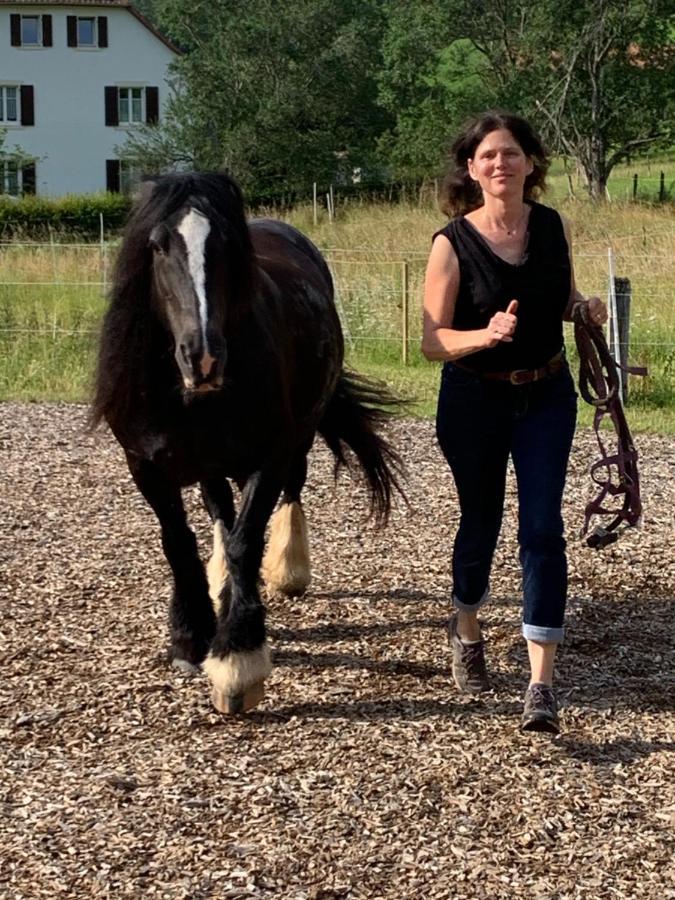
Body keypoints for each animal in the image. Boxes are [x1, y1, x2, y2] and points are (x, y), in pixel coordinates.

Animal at [92, 172, 404, 712]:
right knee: (218, 505)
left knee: (289, 494)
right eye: (157, 245)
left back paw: (287, 569)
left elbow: (246, 540)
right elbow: (179, 541)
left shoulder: (271, 457)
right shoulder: (145, 465)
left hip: (297, 440)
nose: (203, 358)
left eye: (227, 246)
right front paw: (191, 635)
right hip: (209, 462)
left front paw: (238, 659)